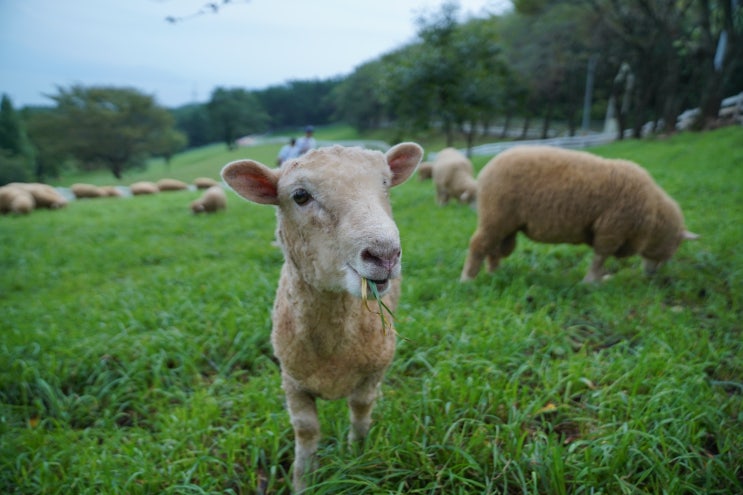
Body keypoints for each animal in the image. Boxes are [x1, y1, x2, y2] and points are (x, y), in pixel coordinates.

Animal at [219, 140, 424, 492]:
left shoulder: (371, 372)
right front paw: (303, 480)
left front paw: (357, 455)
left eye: (385, 184)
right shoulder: (292, 380)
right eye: (300, 196)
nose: (385, 254)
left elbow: (360, 412)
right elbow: (306, 430)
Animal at [462, 145, 700, 282]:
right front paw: (591, 283)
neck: (652, 215)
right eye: (672, 249)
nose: (652, 276)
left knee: (494, 248)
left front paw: (598, 280)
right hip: (496, 215)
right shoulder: (611, 229)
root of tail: (485, 171)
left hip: (505, 224)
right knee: (478, 244)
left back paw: (494, 274)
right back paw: (467, 279)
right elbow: (599, 258)